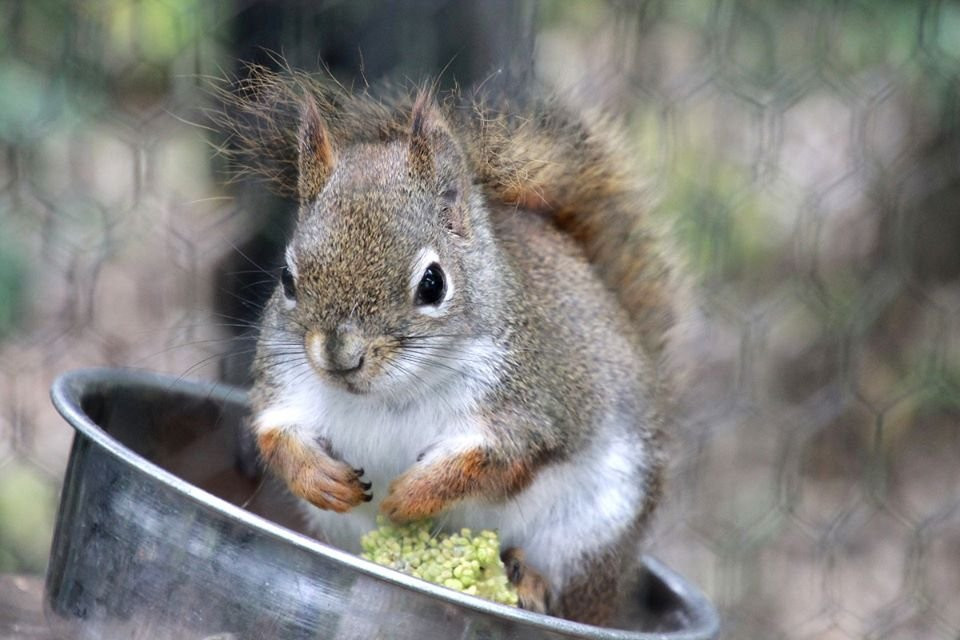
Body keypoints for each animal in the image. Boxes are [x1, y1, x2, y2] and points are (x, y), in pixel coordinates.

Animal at [218, 65, 678, 626]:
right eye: (287, 279)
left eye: (433, 284)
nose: (340, 357)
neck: (389, 395)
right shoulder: (284, 387)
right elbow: (274, 434)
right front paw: (319, 478)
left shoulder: (530, 410)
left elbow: (497, 463)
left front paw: (413, 495)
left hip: (591, 531)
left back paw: (531, 580)